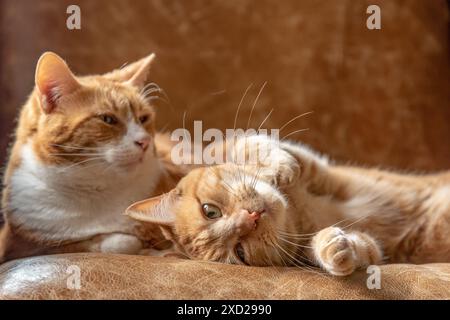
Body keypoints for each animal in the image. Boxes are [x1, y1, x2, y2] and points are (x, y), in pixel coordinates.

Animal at [0, 52, 186, 262]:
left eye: (143, 118)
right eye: (108, 119)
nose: (144, 142)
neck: (97, 190)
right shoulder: (22, 245)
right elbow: (109, 243)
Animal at [126, 135, 450, 276]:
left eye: (210, 211)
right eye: (240, 252)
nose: (251, 217)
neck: (301, 211)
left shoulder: (314, 164)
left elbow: (243, 142)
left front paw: (277, 167)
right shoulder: (375, 249)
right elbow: (360, 247)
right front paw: (334, 247)